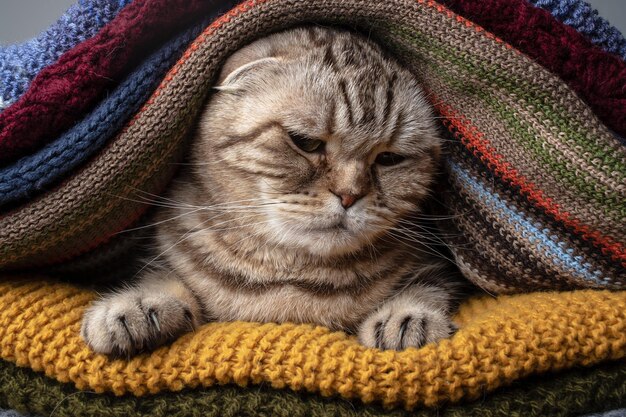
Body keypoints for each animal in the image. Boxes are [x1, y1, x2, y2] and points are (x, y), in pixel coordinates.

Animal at [79, 26, 464, 356]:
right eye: (304, 142)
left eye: (389, 158)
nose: (350, 195)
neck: (286, 276)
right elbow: (160, 278)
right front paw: (136, 305)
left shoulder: (434, 266)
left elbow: (426, 287)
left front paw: (406, 316)